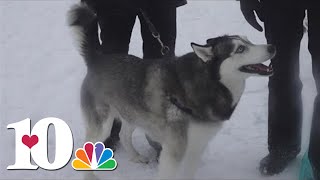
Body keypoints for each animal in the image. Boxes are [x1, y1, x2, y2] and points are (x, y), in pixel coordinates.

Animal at [69, 3, 276, 178]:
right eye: (240, 49)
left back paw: (136, 157)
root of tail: (98, 58)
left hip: (133, 113)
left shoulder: (195, 148)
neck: (209, 85)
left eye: (248, 41)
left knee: (124, 134)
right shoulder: (174, 152)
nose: (272, 47)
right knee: (91, 144)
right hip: (103, 123)